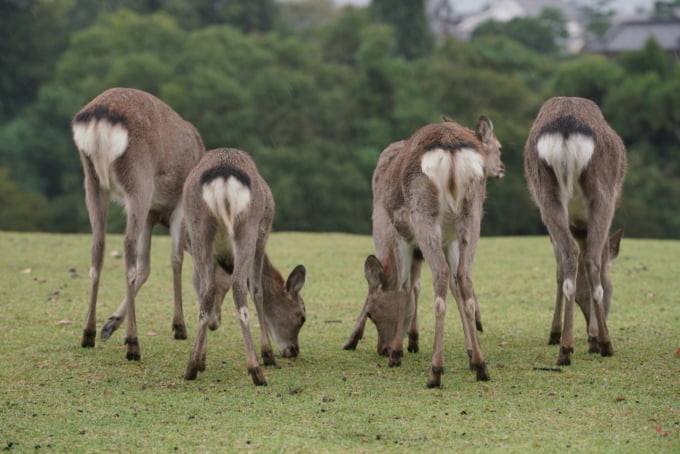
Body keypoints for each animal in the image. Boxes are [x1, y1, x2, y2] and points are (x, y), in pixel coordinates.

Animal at [71, 87, 206, 360]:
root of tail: (100, 116)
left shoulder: (150, 215)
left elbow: (147, 266)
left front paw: (110, 324)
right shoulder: (179, 206)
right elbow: (175, 260)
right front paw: (179, 326)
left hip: (91, 179)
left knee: (98, 246)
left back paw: (88, 333)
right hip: (138, 178)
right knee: (127, 246)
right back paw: (133, 342)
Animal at [182, 147, 306, 384]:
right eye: (302, 316)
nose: (294, 350)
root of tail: (223, 175)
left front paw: (202, 359)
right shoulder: (263, 235)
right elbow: (257, 290)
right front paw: (267, 354)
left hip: (198, 228)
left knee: (207, 289)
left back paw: (191, 367)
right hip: (248, 228)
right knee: (240, 286)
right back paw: (256, 370)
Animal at [346, 114, 504, 386]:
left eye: (373, 314)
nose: (383, 348)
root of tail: (451, 150)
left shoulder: (396, 234)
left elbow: (403, 286)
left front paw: (396, 352)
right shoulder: (449, 240)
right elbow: (450, 286)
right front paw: (468, 352)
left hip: (424, 214)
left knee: (439, 275)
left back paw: (435, 370)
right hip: (471, 216)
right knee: (463, 277)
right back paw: (481, 366)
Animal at [524, 97, 628, 368]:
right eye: (613, 289)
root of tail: (566, 130)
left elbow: (560, 272)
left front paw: (556, 333)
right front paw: (593, 338)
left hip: (546, 195)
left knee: (571, 256)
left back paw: (565, 348)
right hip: (603, 193)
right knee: (591, 260)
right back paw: (605, 343)